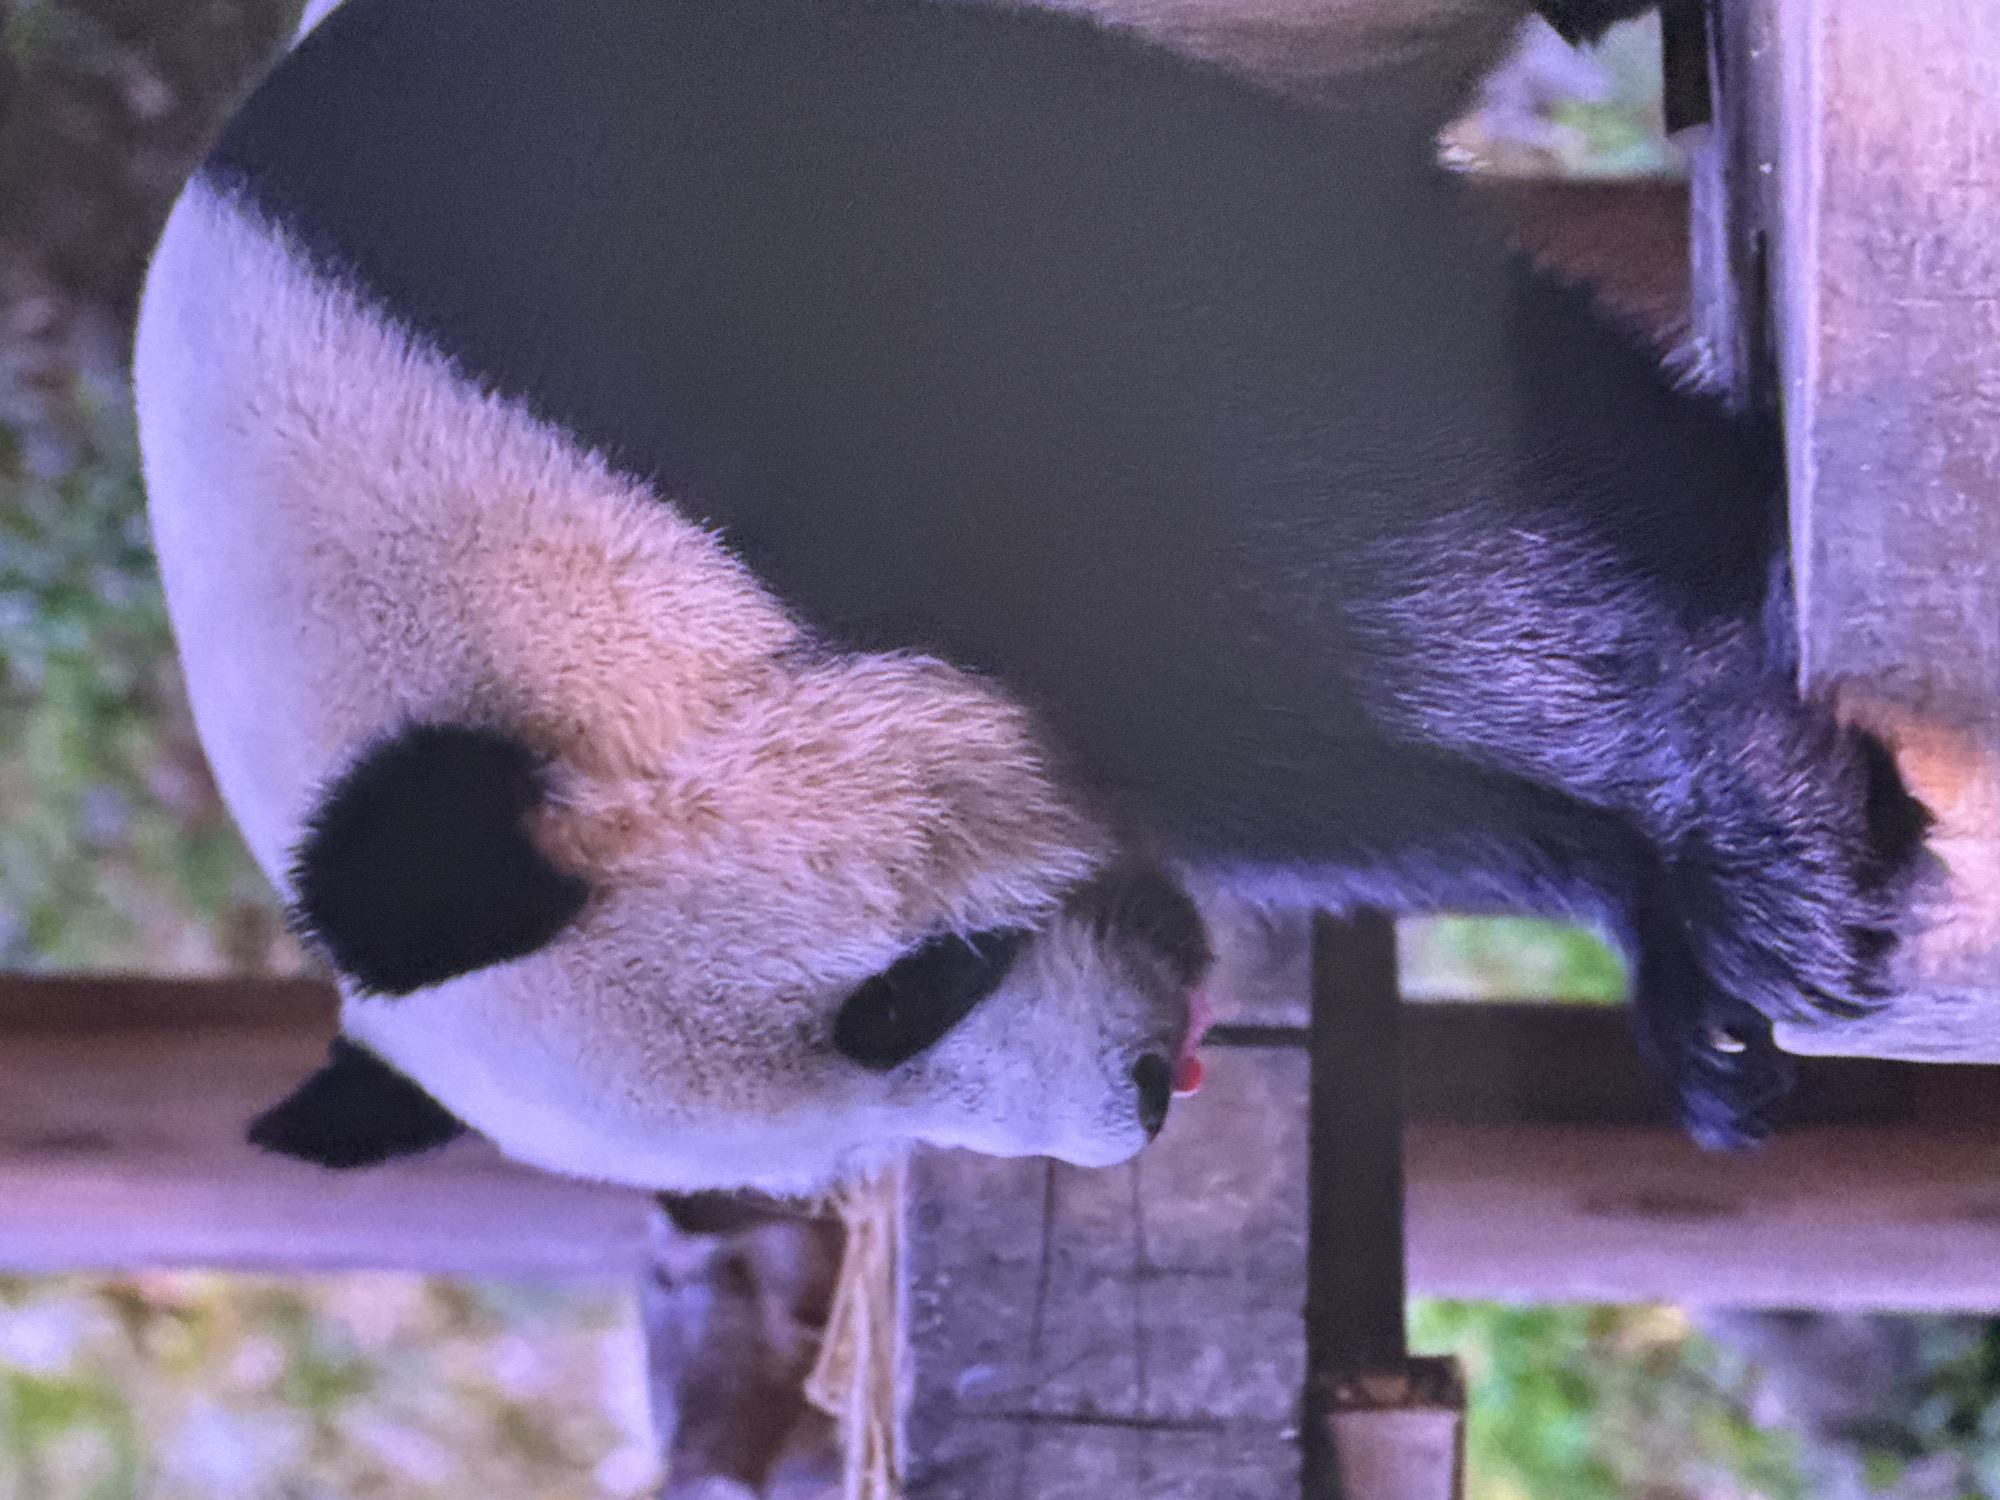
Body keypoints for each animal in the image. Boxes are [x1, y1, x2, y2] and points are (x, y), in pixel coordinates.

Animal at [132, 0, 1928, 1194]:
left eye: (900, 998)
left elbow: (1310, 429)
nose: (1136, 1099)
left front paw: (1759, 841)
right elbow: (1263, 765)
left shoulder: (650, 250)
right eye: (831, 1148)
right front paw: (1678, 963)